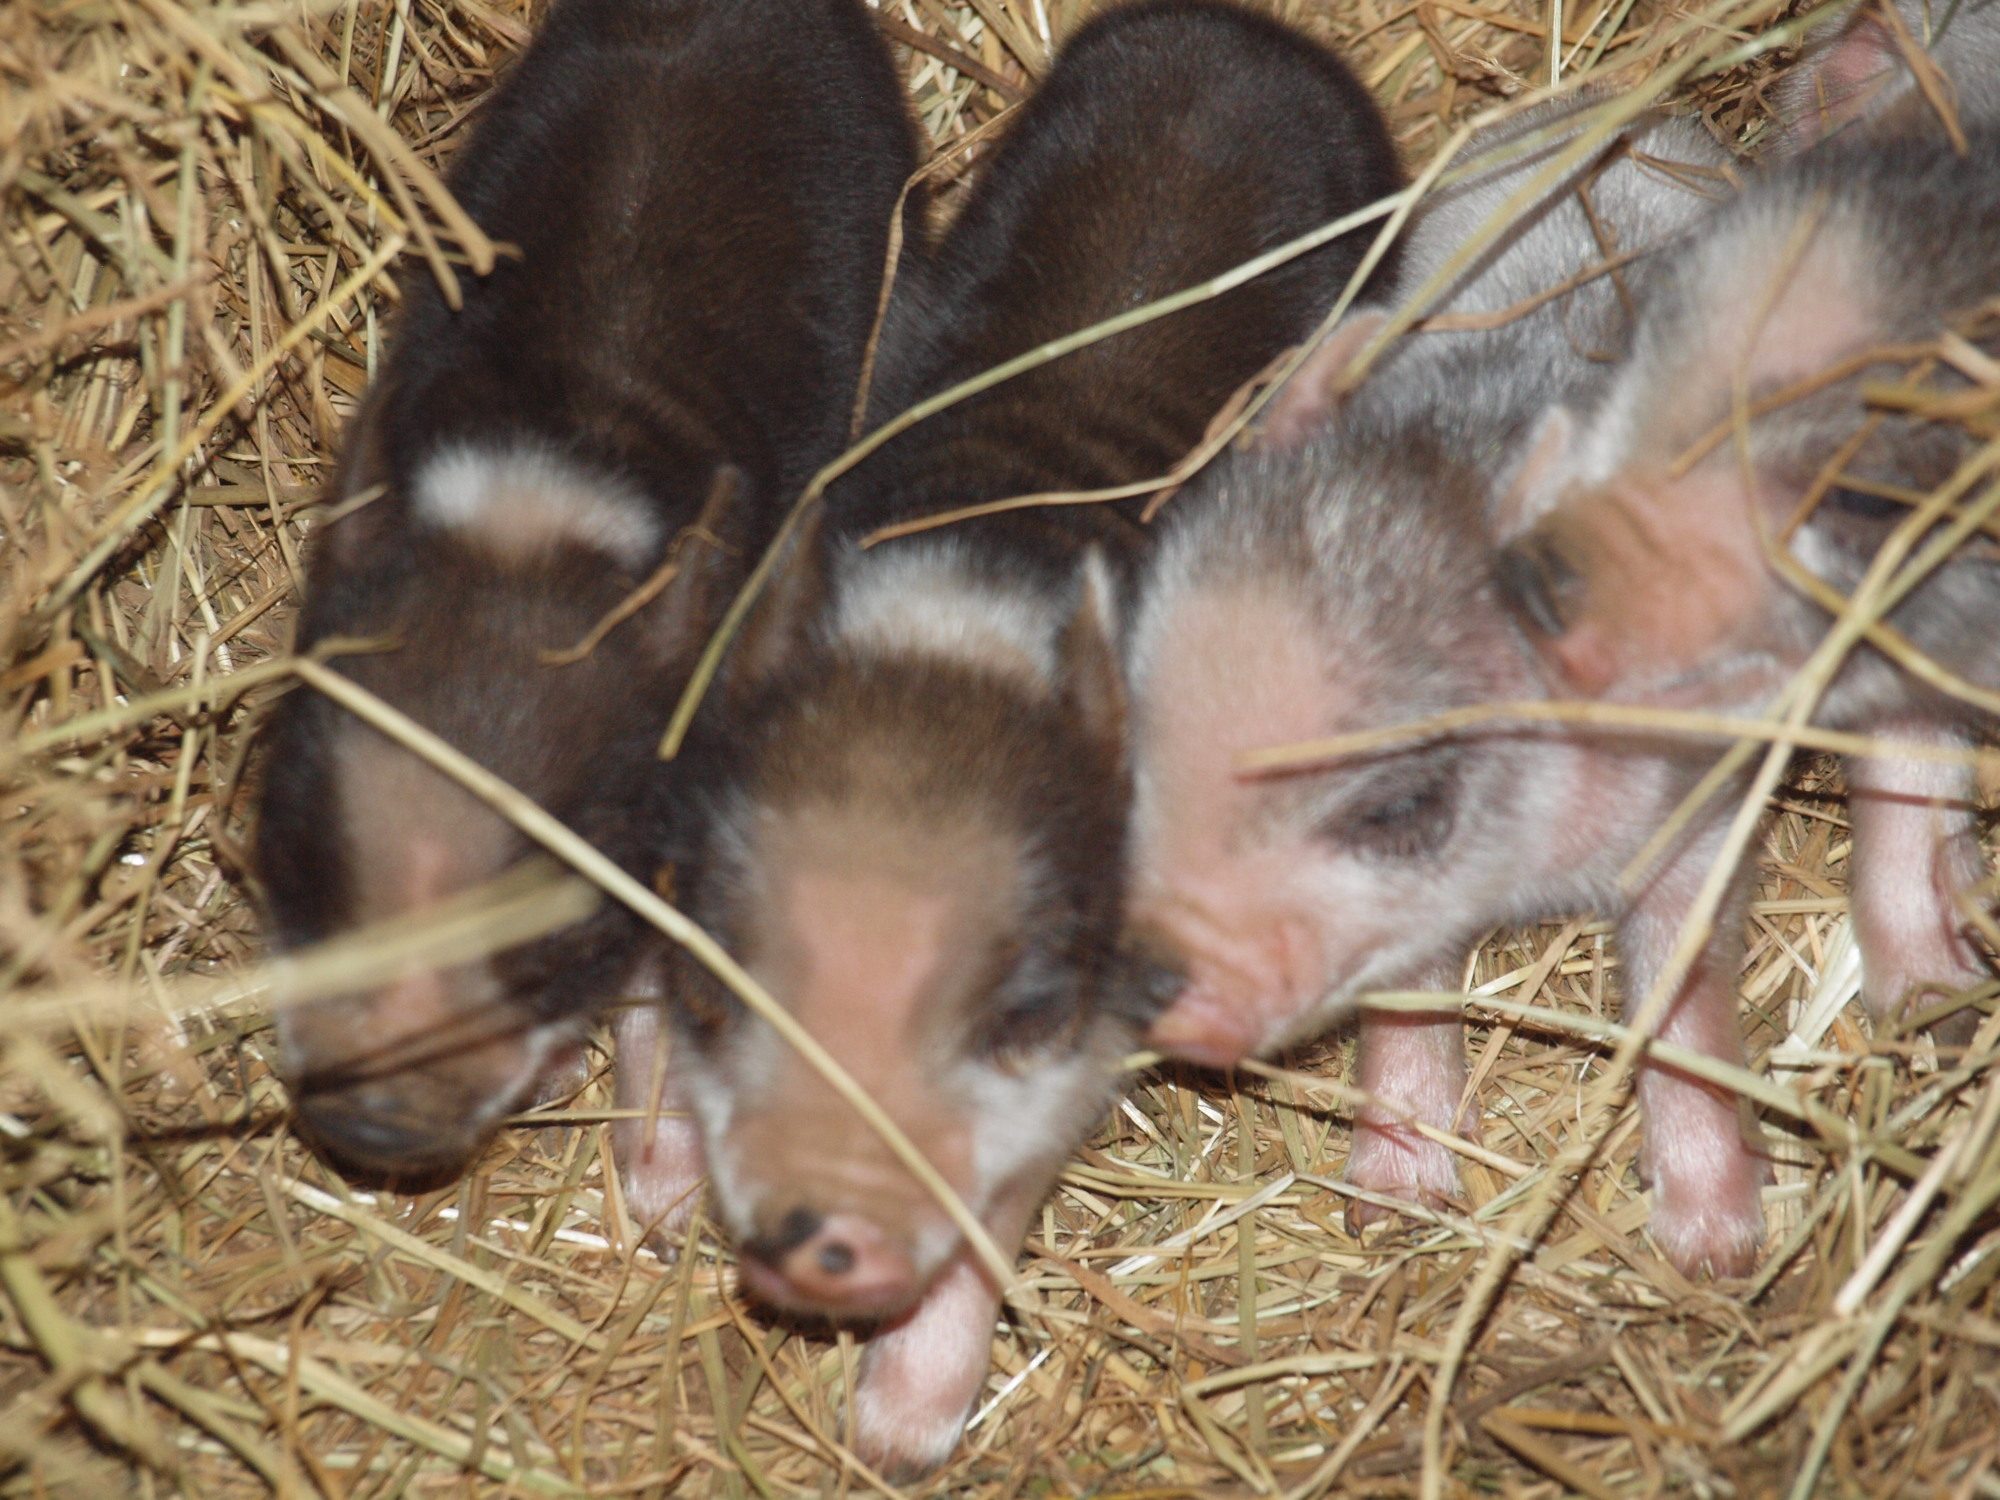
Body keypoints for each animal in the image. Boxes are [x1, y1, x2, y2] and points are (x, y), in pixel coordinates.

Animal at [654, 0, 1403, 1474]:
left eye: (1019, 1008)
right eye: (725, 985)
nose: (818, 1226)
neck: (954, 634)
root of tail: (1243, 32)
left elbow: (992, 1224)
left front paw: (895, 1445)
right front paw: (650, 1203)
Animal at [1126, 99, 1762, 1273]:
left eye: (1401, 805)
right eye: (1141, 739)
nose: (1152, 987)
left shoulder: (1704, 788)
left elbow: (1685, 991)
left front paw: (1715, 1260)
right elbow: (1408, 993)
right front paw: (1392, 1212)